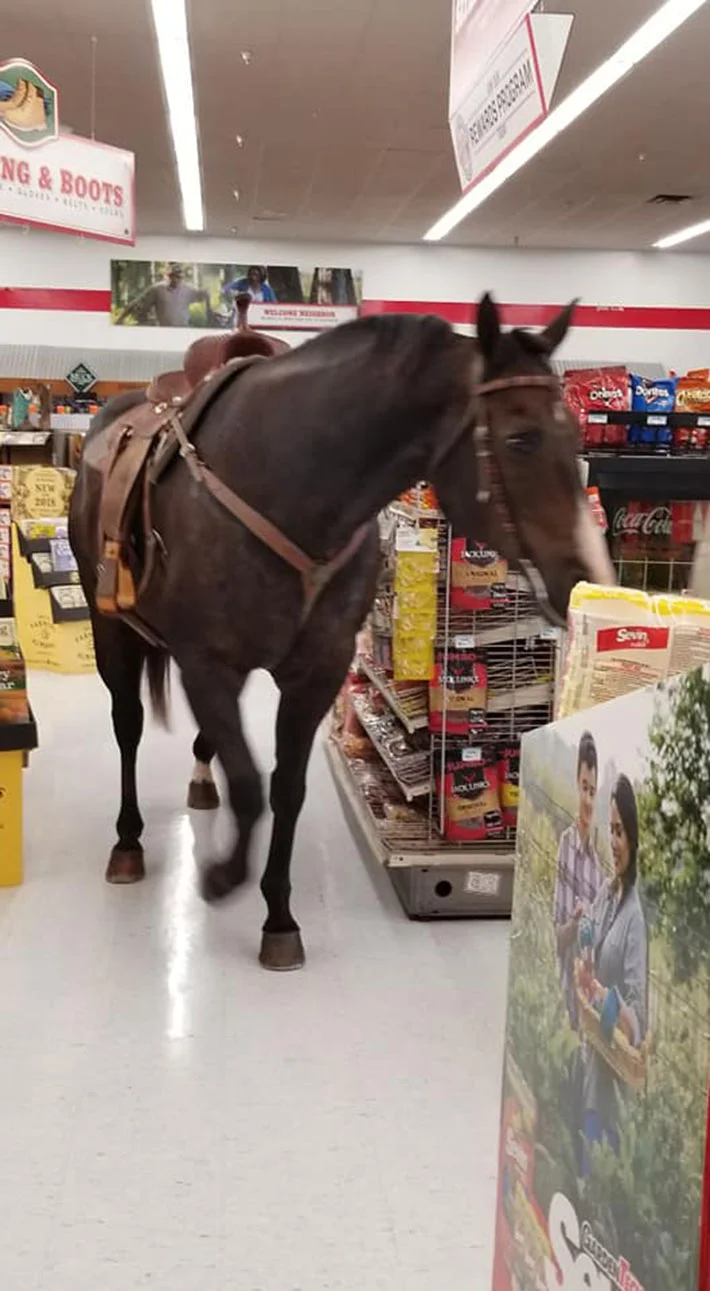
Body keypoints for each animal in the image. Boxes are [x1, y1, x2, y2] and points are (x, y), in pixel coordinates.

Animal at [69, 292, 614, 971]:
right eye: (520, 439)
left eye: (576, 435)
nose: (586, 577)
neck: (294, 489)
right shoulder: (207, 663)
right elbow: (249, 784)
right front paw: (224, 876)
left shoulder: (316, 673)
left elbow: (286, 789)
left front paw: (278, 915)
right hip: (109, 626)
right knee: (129, 727)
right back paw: (128, 842)